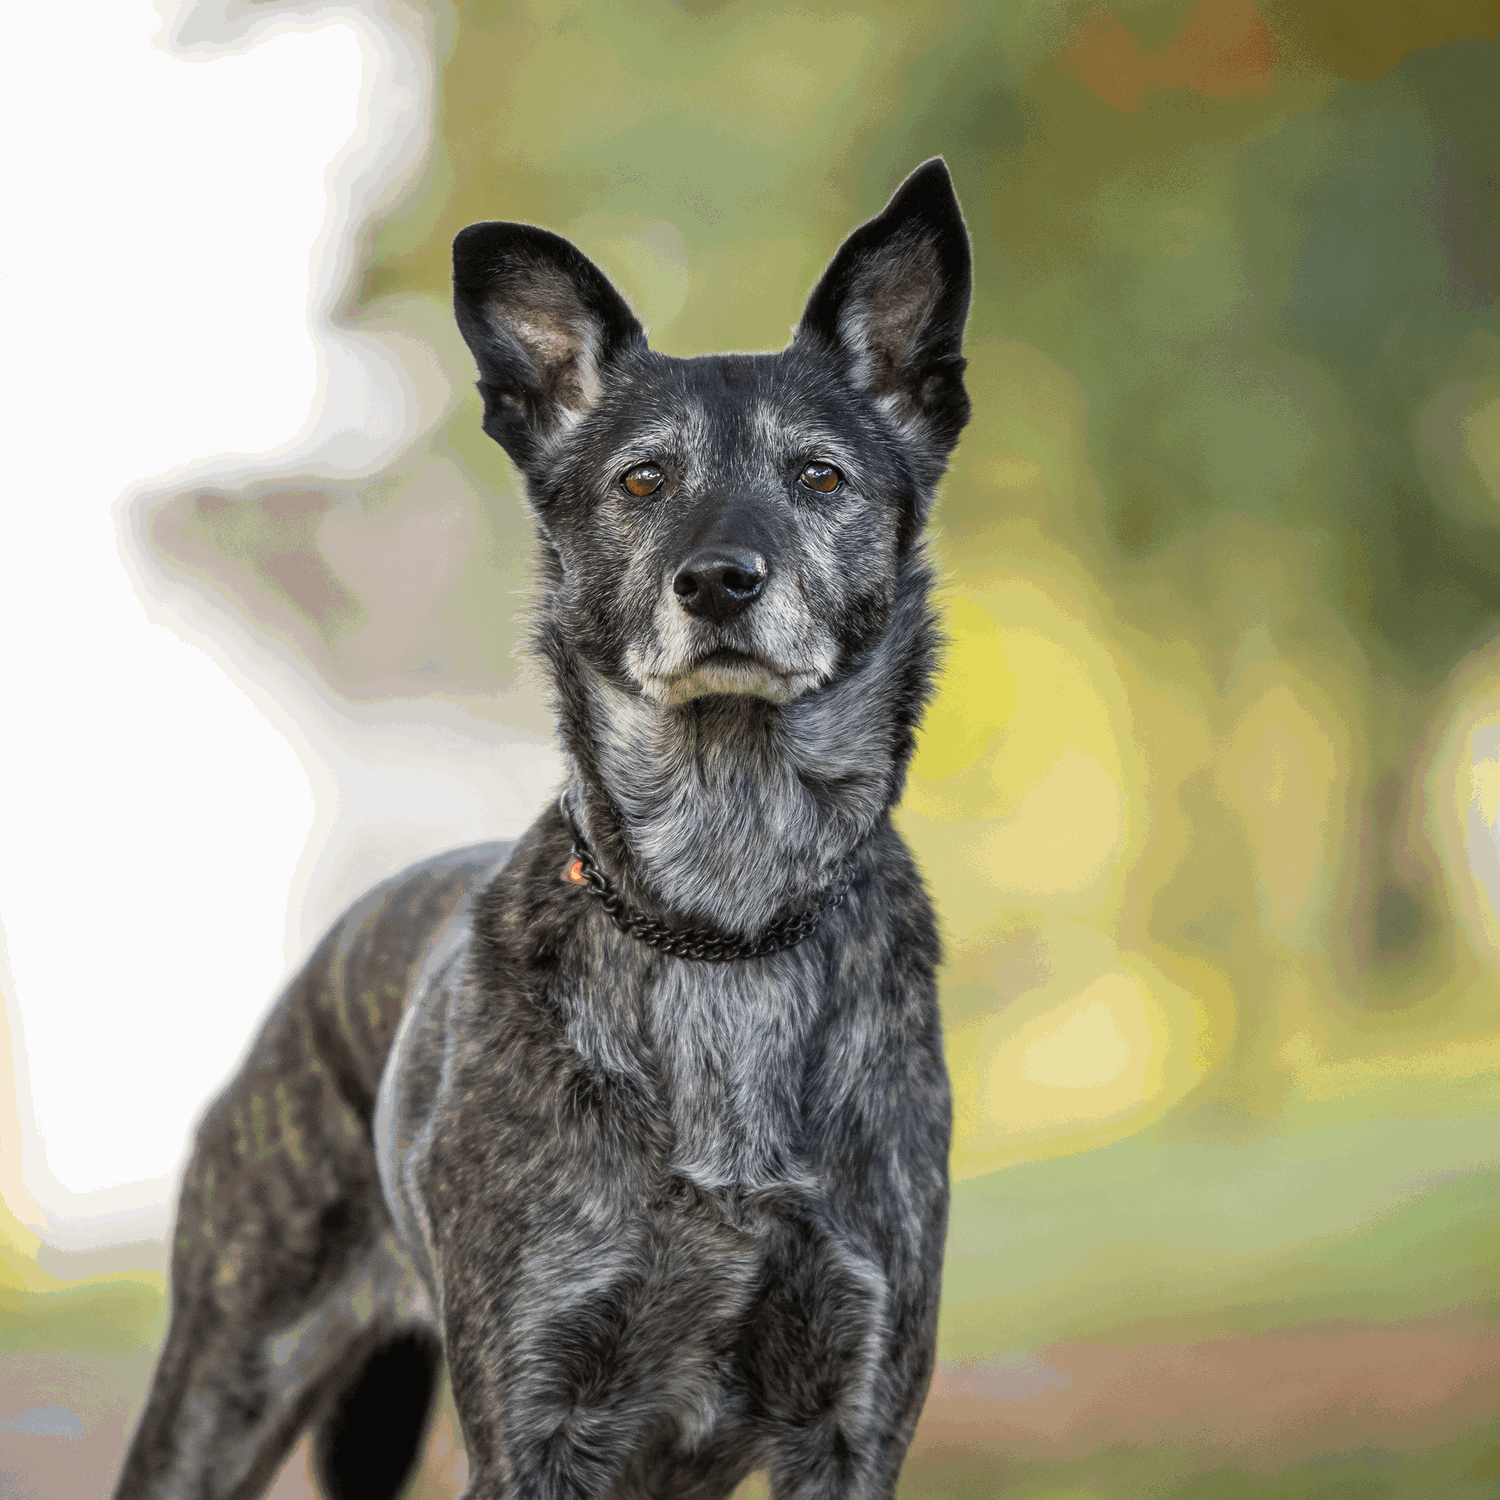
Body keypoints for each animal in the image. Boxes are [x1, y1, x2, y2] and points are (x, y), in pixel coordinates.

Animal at [117, 158, 978, 1494]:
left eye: (820, 477)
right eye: (642, 482)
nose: (719, 581)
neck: (722, 913)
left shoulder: (852, 1420)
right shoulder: (533, 1419)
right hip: (220, 1385)